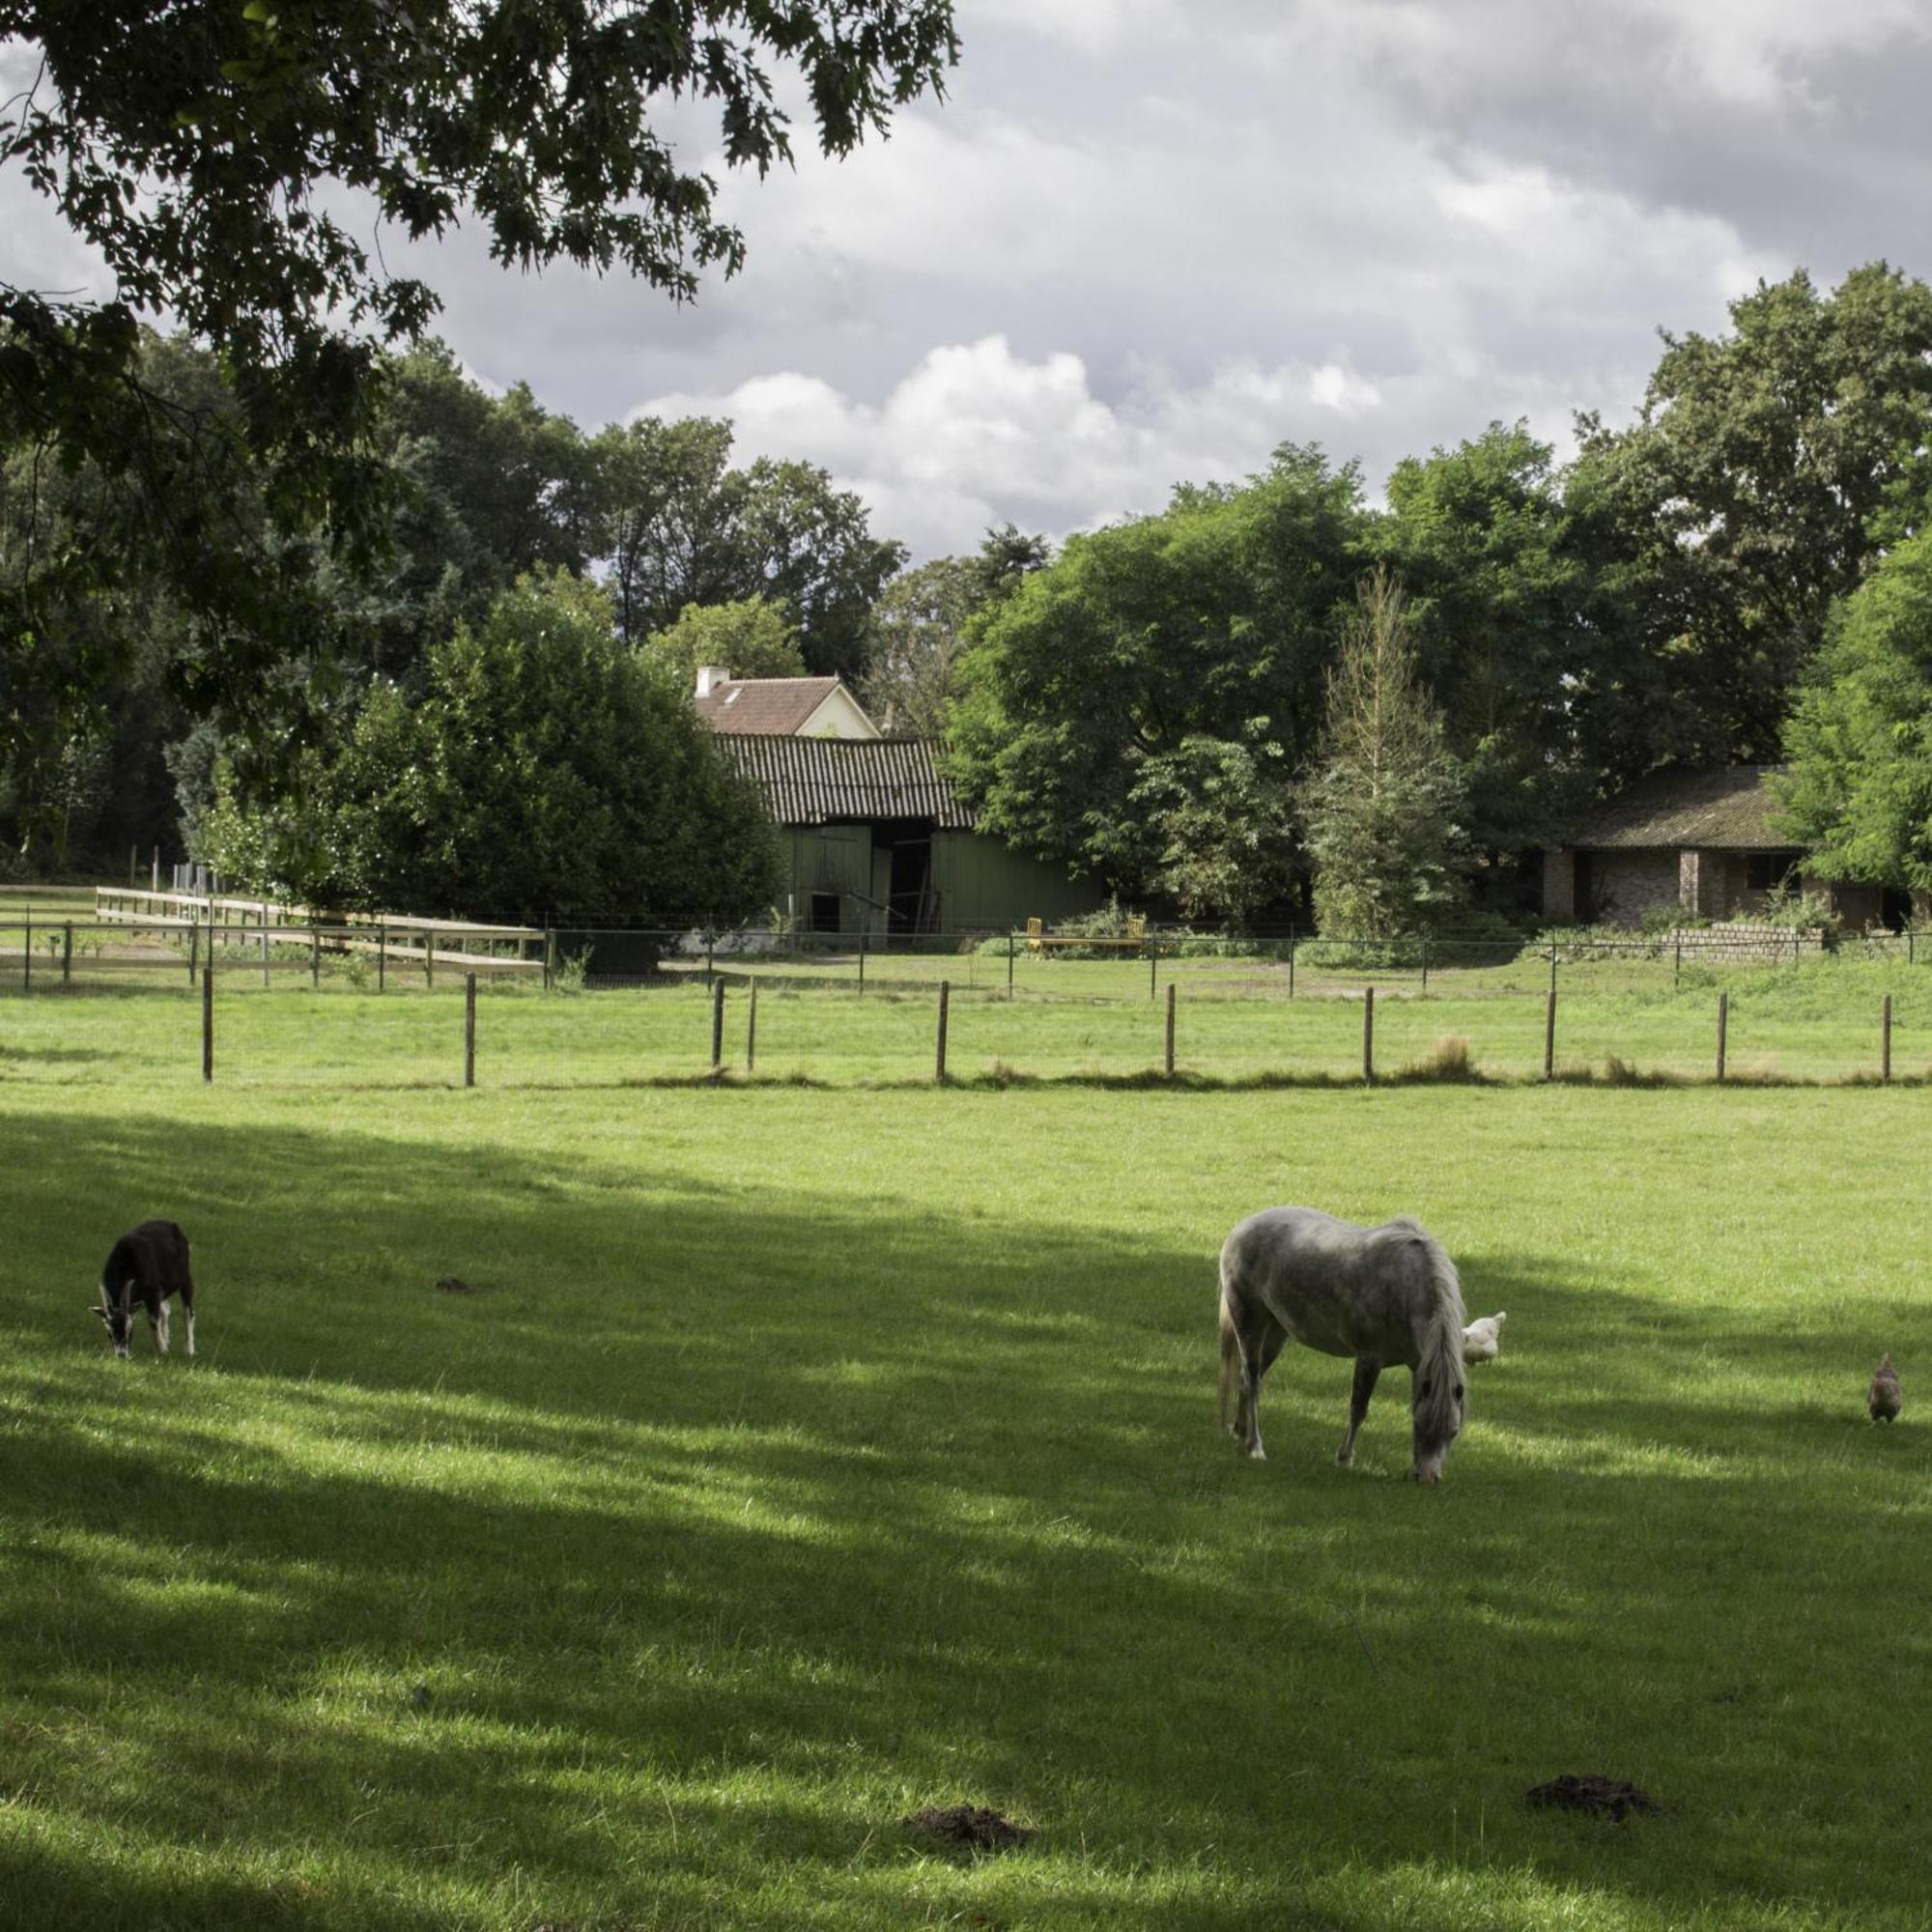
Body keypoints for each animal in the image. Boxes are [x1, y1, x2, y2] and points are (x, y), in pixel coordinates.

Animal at [95, 1221, 197, 1360]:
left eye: (129, 1329)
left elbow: (153, 1319)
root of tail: (174, 1226)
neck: (126, 1261)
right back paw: (167, 1339)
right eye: (109, 1332)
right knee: (166, 1310)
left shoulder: (153, 1291)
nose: (121, 1355)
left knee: (188, 1311)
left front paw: (162, 1350)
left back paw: (189, 1350)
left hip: (185, 1278)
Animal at [1213, 1206, 1468, 1476]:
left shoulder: (1418, 1365)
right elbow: (1358, 1408)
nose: (1428, 1478)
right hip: (1249, 1324)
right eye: (1420, 1425)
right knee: (1252, 1381)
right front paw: (1345, 1458)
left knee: (1246, 1378)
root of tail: (1239, 1230)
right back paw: (1255, 1446)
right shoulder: (1369, 1358)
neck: (1404, 1289)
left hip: (1275, 1333)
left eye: (1453, 1431)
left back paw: (1241, 1432)